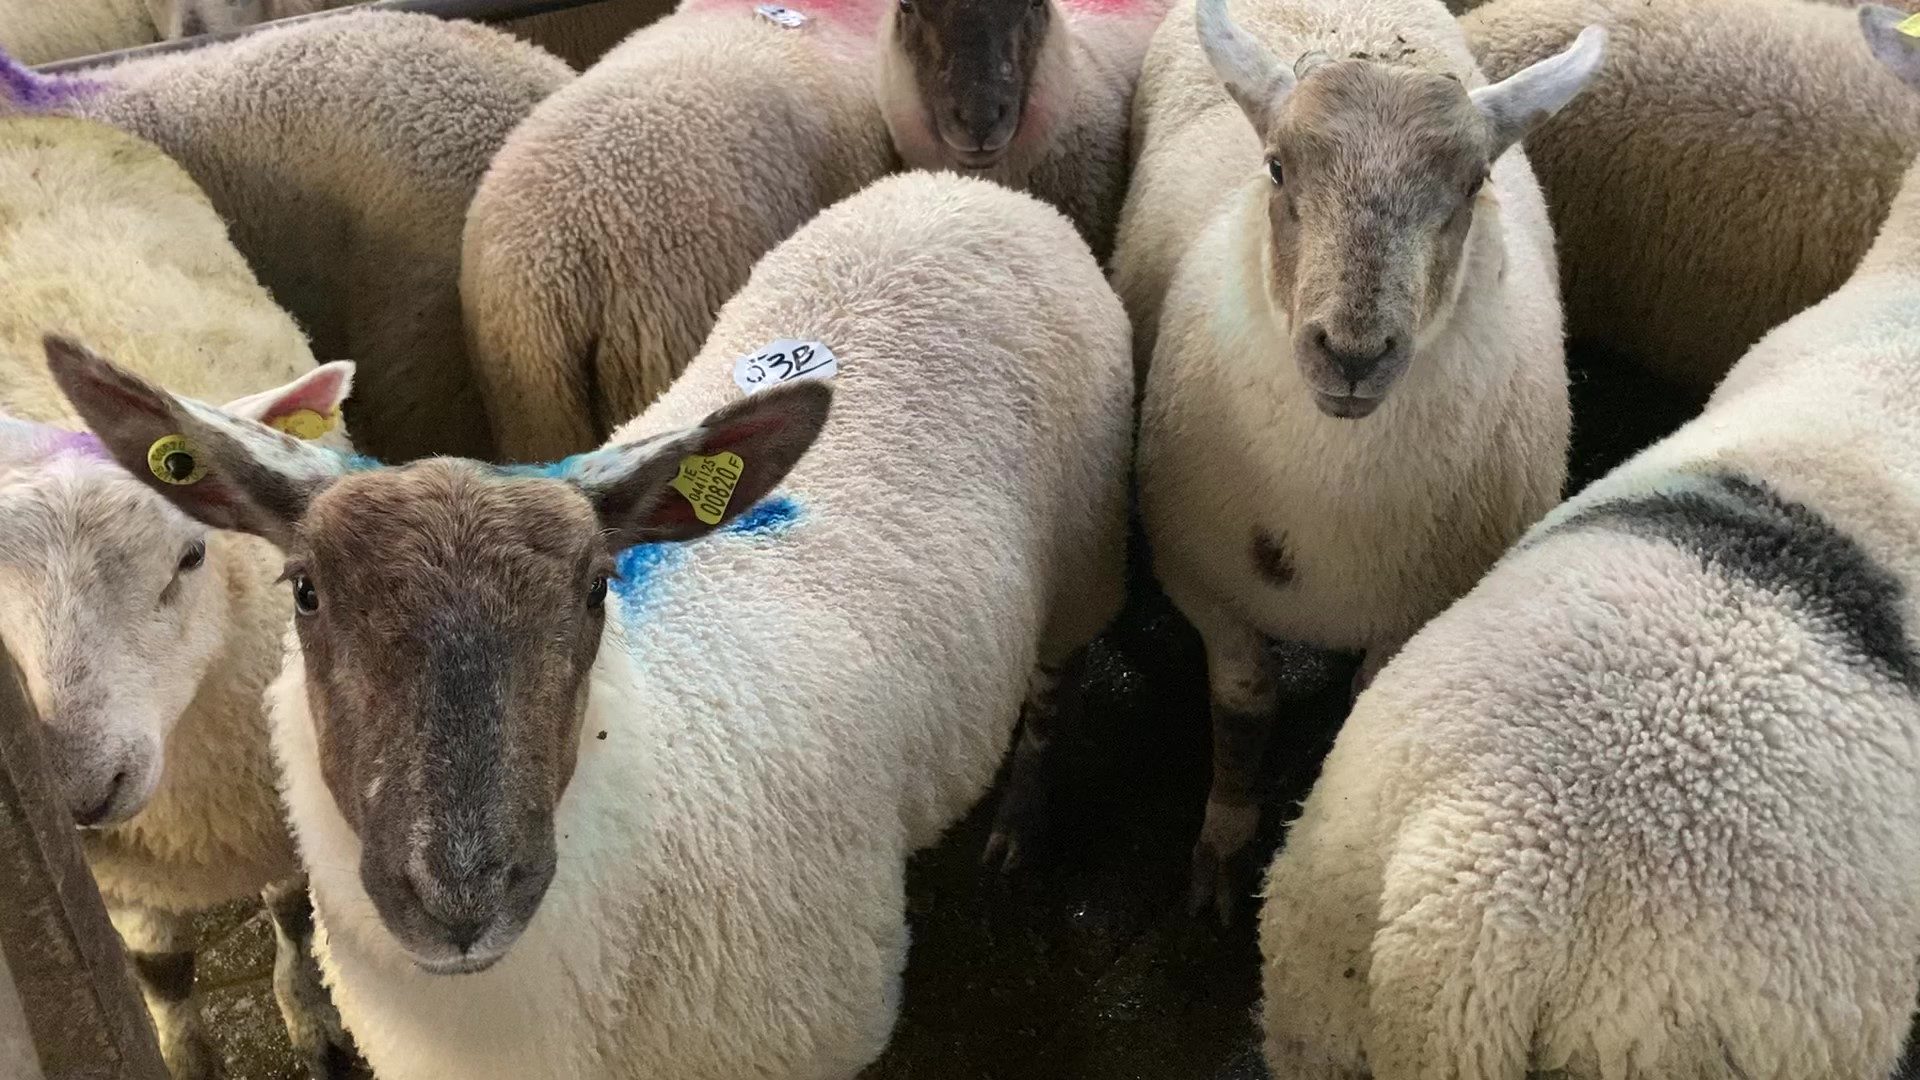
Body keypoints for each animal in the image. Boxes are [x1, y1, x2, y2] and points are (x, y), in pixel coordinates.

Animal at [0, 114, 359, 1079]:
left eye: (192, 555)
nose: (75, 793)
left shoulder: (277, 800)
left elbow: (294, 913)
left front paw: (313, 1021)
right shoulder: (118, 878)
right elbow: (162, 973)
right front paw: (185, 1052)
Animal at [53, 170, 1132, 1080]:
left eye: (595, 591)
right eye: (305, 591)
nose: (460, 899)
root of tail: (964, 187)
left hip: (1084, 563)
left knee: (1053, 693)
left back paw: (1017, 831)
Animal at [1126, 0, 1603, 919]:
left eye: (1473, 185)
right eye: (1277, 169)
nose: (1351, 354)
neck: (1331, 500)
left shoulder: (1414, 615)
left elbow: (1356, 716)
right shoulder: (1202, 582)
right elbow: (1244, 709)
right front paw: (1224, 848)